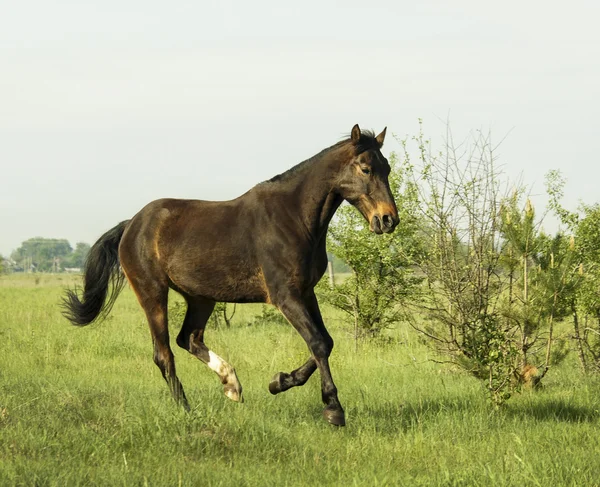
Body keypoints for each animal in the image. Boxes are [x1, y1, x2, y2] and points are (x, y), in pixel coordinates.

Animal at [63, 126, 398, 428]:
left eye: (388, 168)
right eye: (366, 168)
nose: (388, 219)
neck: (294, 218)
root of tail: (131, 224)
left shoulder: (306, 292)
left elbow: (325, 342)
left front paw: (279, 381)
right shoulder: (285, 296)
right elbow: (318, 343)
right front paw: (333, 409)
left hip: (200, 298)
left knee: (189, 339)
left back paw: (232, 385)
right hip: (152, 293)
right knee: (164, 354)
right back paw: (187, 409)